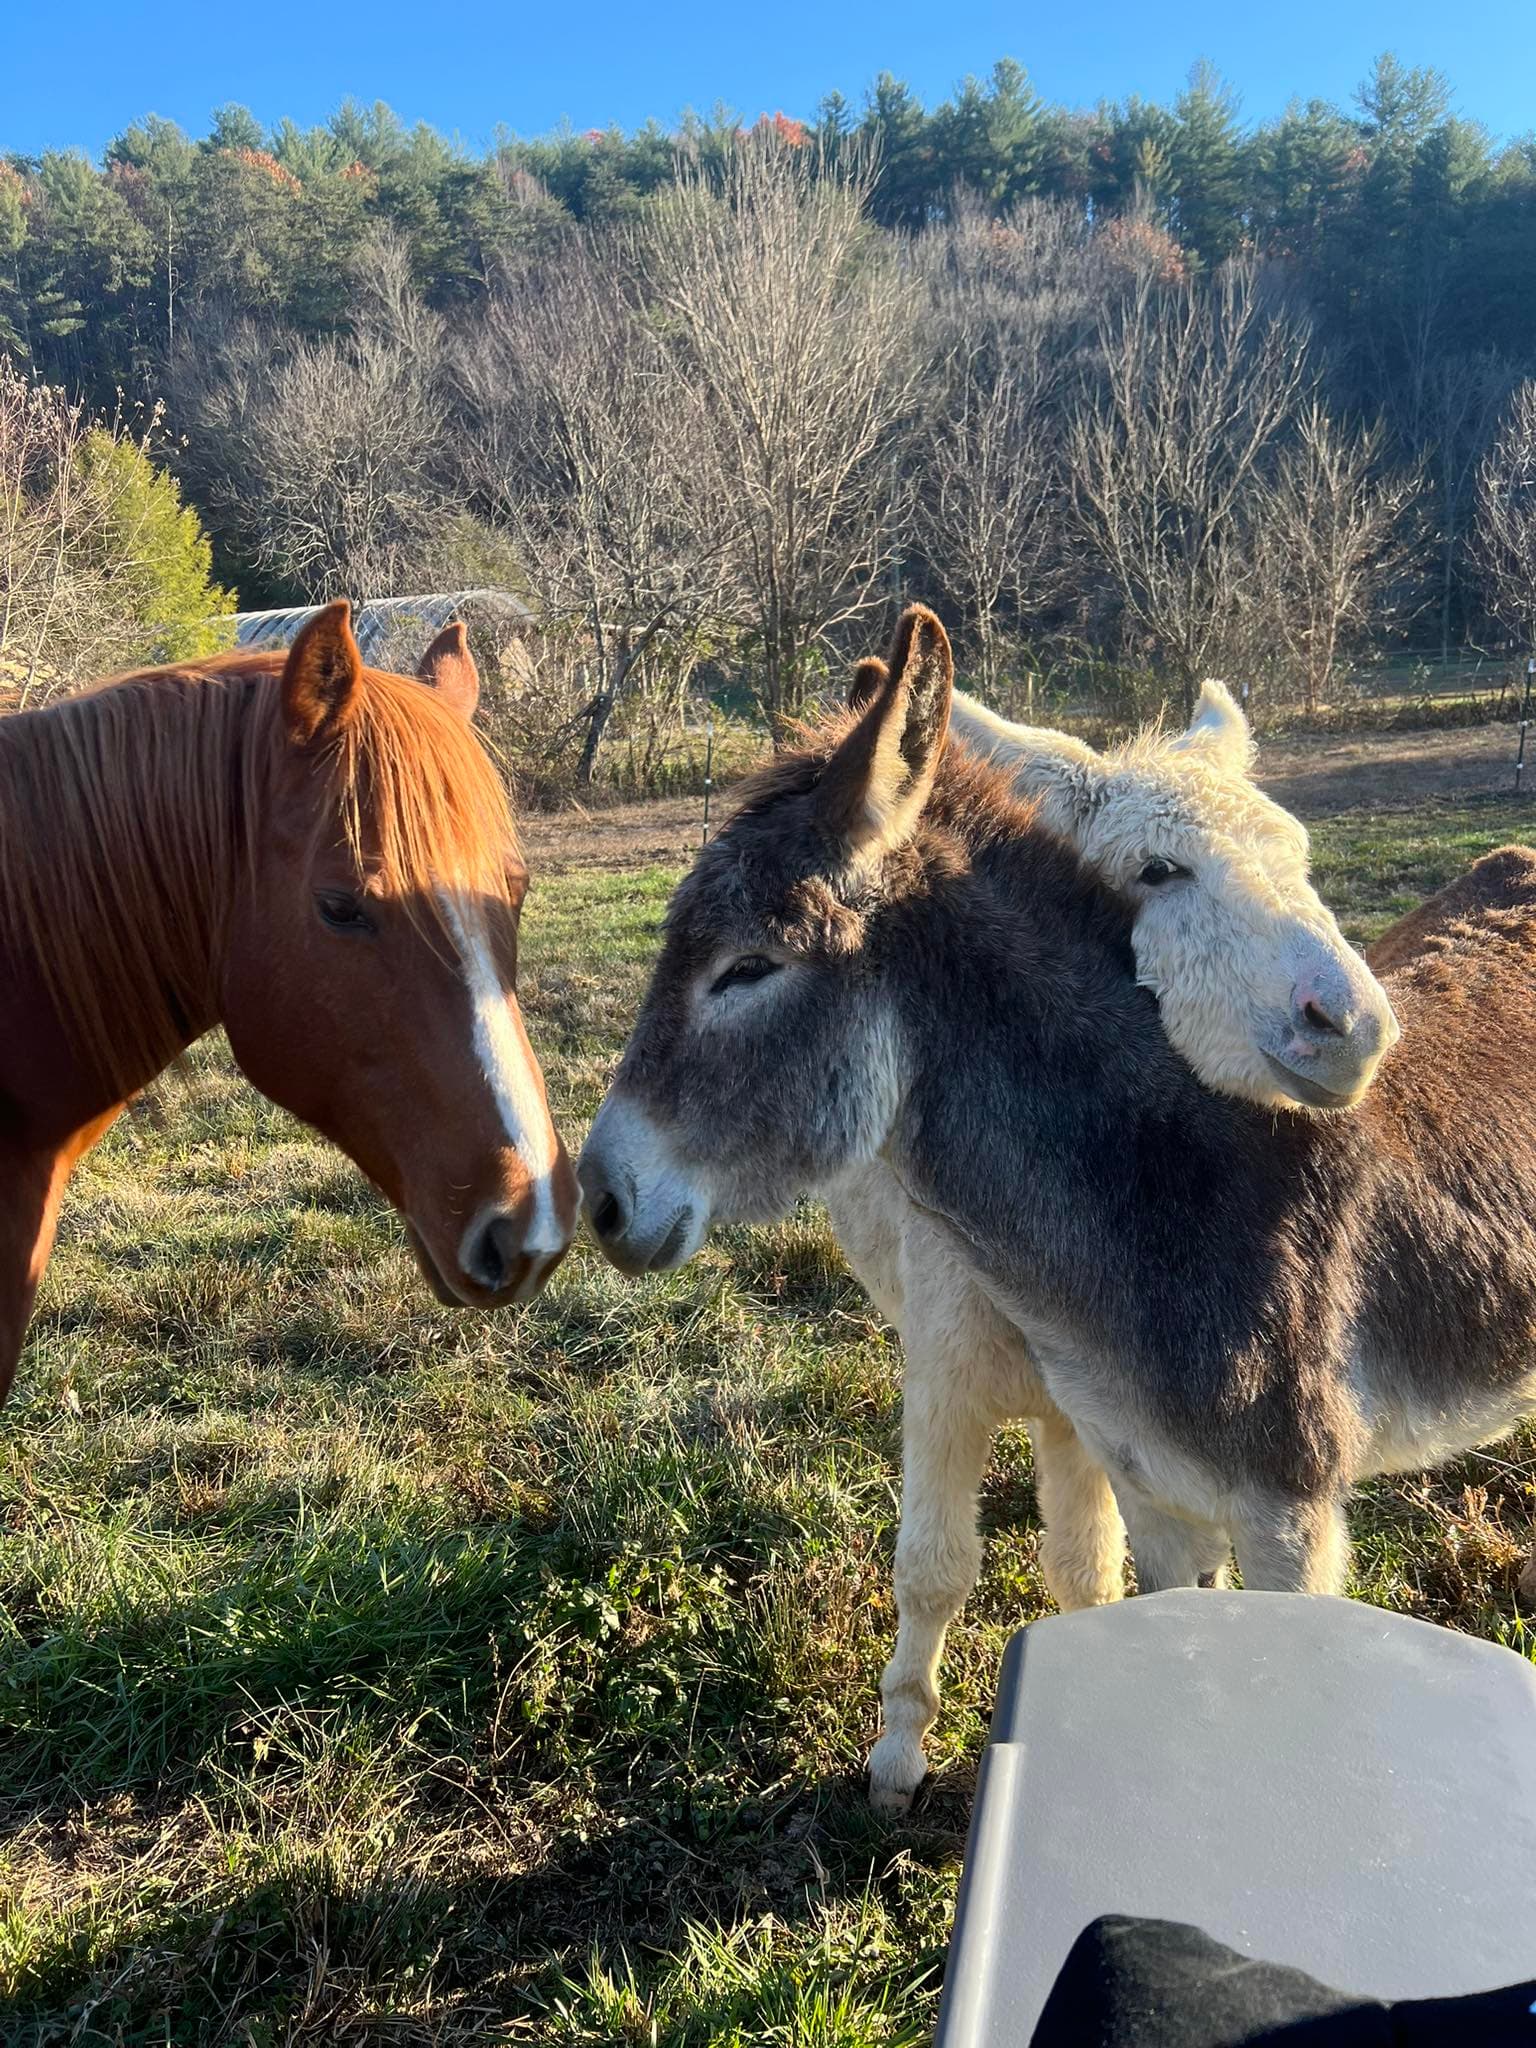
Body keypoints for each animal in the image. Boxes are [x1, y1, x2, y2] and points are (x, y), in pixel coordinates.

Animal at [578, 605, 1536, 1812]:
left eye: (748, 968)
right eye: (1156, 870)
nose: (596, 1195)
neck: (1169, 1186)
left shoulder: (1294, 1521)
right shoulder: (1149, 1491)